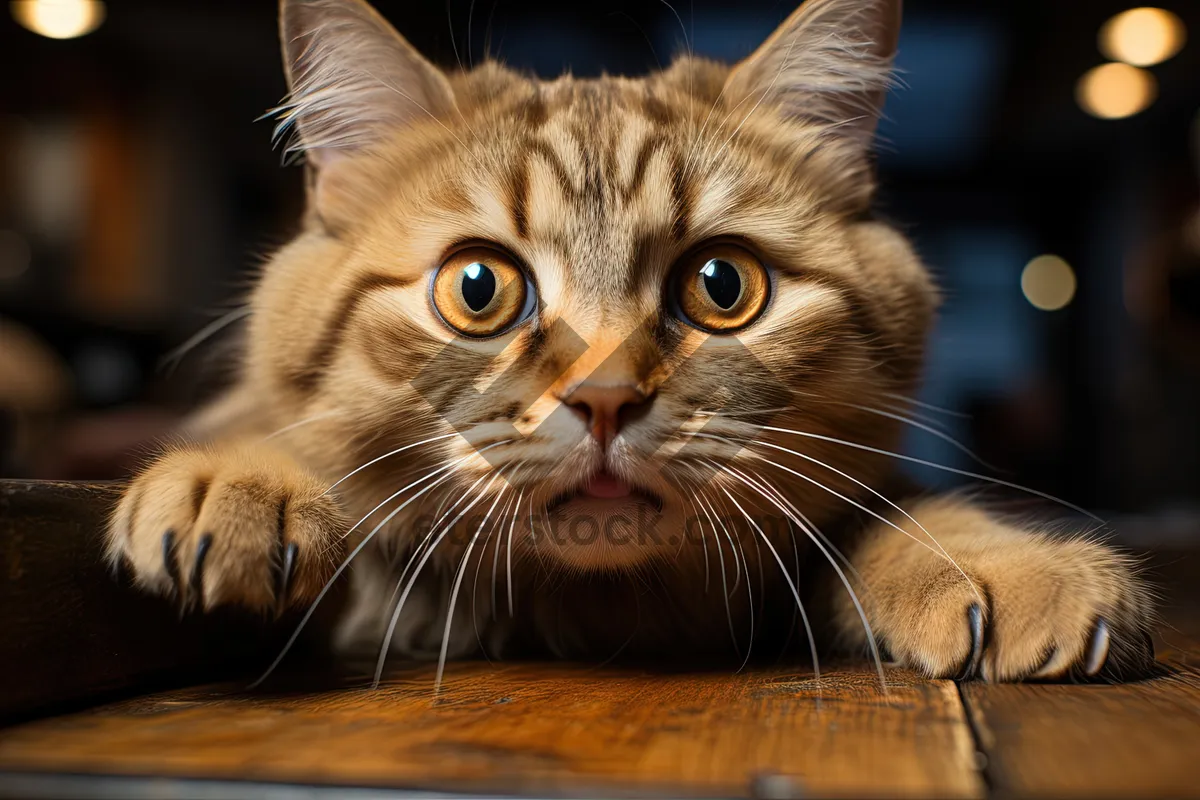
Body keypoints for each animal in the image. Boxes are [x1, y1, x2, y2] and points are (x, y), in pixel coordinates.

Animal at [108, 0, 1156, 681]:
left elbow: (897, 509)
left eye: (722, 285)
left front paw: (998, 560)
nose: (604, 397)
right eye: (479, 289)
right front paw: (243, 480)